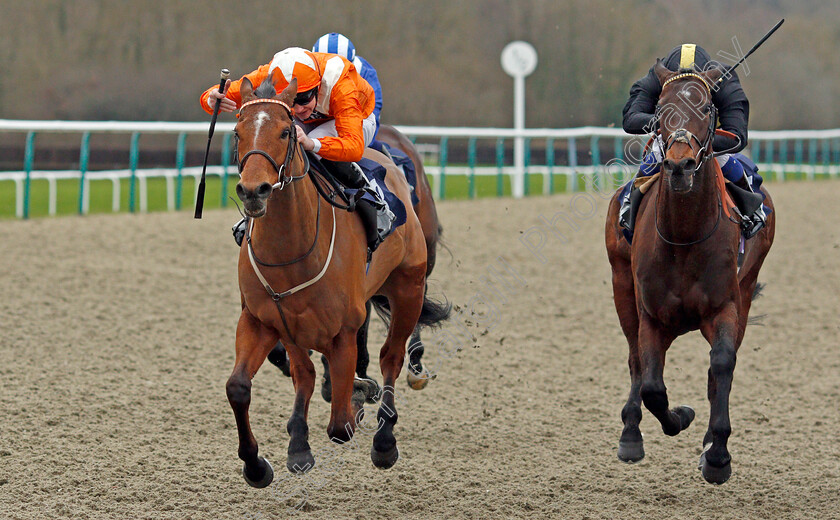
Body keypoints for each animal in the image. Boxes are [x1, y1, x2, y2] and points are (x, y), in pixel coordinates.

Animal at [223, 74, 446, 488]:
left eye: (285, 132)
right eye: (237, 132)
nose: (253, 190)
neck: (290, 252)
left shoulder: (342, 328)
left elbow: (340, 423)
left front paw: (357, 398)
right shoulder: (267, 320)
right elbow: (244, 386)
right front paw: (264, 461)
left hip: (409, 285)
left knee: (391, 356)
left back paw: (385, 436)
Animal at [604, 60, 776, 484]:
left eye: (707, 109)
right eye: (660, 110)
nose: (680, 165)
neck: (684, 234)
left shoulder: (725, 304)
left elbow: (722, 364)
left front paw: (717, 455)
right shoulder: (651, 313)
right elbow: (651, 385)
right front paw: (679, 417)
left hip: (746, 288)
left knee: (721, 365)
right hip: (620, 285)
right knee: (635, 361)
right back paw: (631, 434)